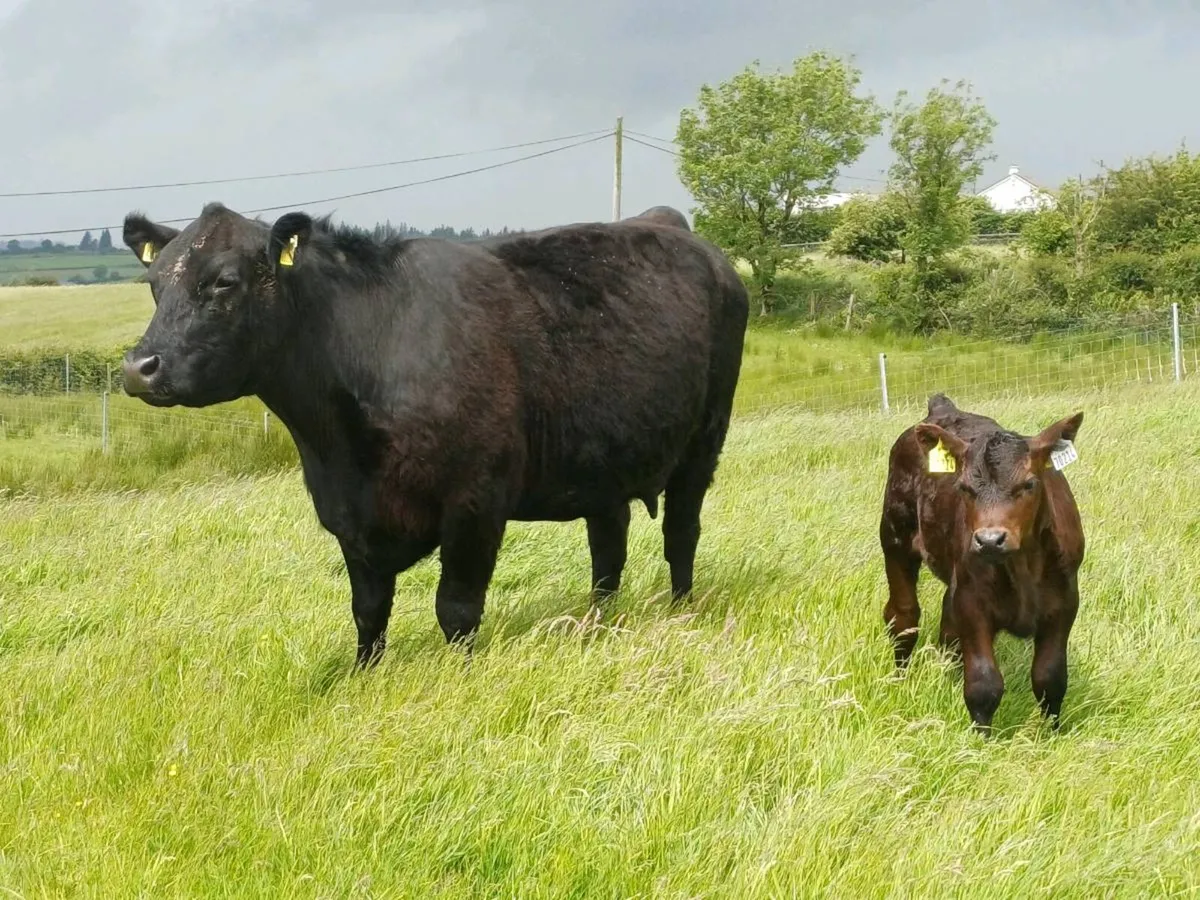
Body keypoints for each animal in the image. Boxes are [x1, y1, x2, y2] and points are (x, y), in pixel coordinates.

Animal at [119, 202, 749, 667]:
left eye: (224, 281)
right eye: (153, 283)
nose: (139, 366)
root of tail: (673, 226)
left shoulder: (475, 501)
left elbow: (457, 609)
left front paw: (459, 678)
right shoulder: (348, 516)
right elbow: (368, 611)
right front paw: (363, 677)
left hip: (705, 439)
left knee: (681, 532)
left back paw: (681, 610)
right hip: (602, 457)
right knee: (608, 541)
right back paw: (596, 622)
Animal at [878, 393, 1085, 734]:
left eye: (1029, 484)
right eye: (964, 487)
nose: (989, 540)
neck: (1023, 566)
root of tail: (943, 408)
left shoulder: (1065, 601)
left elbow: (1051, 677)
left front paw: (1052, 733)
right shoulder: (972, 602)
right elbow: (984, 683)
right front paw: (980, 739)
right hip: (895, 536)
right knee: (903, 616)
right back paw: (900, 680)